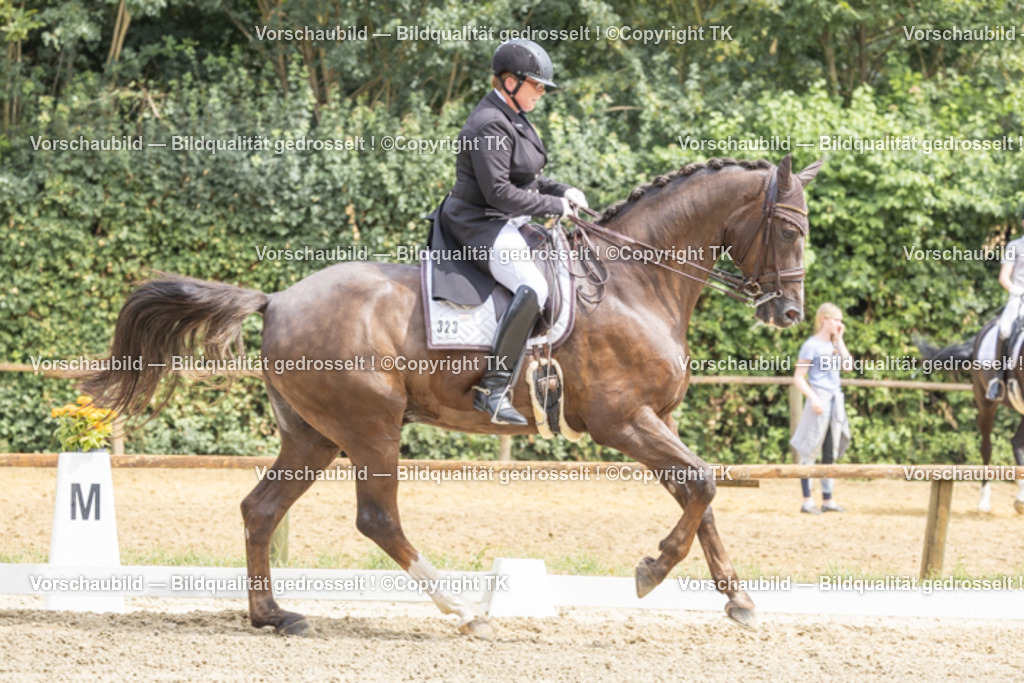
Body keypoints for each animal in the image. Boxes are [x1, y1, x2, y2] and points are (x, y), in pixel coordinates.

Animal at [82, 155, 823, 637]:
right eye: (790, 229)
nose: (788, 312)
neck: (631, 282)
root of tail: (278, 298)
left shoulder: (656, 418)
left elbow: (702, 495)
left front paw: (738, 601)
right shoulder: (623, 420)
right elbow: (701, 485)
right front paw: (650, 571)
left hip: (314, 434)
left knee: (260, 510)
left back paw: (274, 616)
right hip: (370, 426)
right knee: (376, 518)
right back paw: (463, 610)